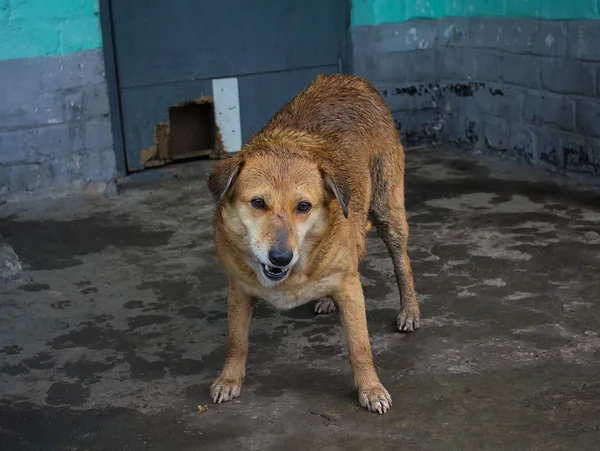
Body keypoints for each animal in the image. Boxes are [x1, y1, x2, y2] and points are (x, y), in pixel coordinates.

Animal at [209, 74, 420, 416]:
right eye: (258, 203)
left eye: (304, 207)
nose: (281, 257)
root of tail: (351, 78)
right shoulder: (238, 289)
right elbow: (236, 342)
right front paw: (229, 380)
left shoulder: (350, 287)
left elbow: (360, 346)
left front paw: (371, 389)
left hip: (388, 211)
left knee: (403, 264)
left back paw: (410, 311)